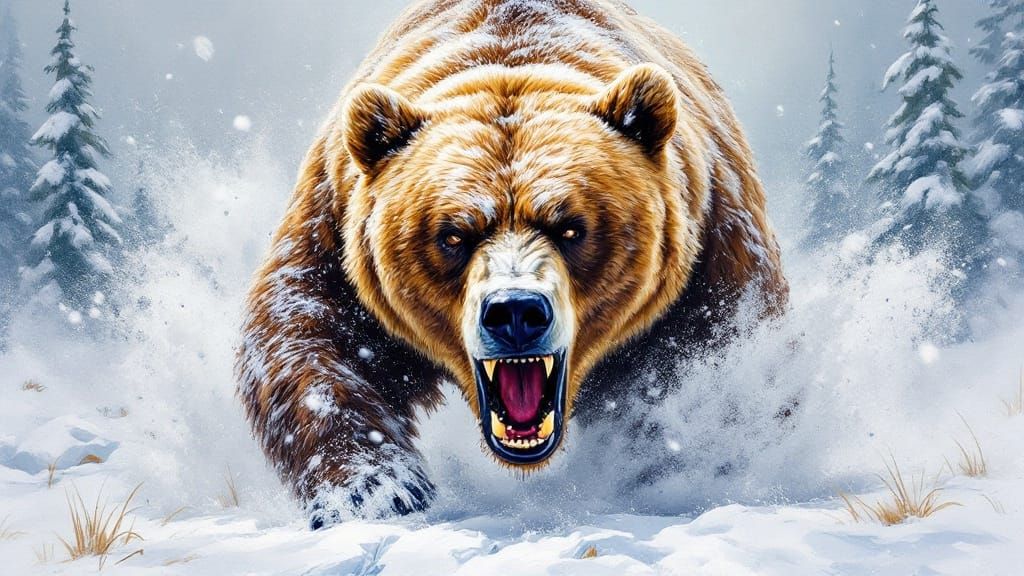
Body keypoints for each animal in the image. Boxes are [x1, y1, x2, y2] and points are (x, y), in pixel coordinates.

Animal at [236, 0, 787, 527]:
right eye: (453, 234)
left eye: (570, 228)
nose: (516, 312)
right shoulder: (338, 226)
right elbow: (308, 334)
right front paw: (376, 490)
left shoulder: (708, 249)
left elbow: (717, 359)